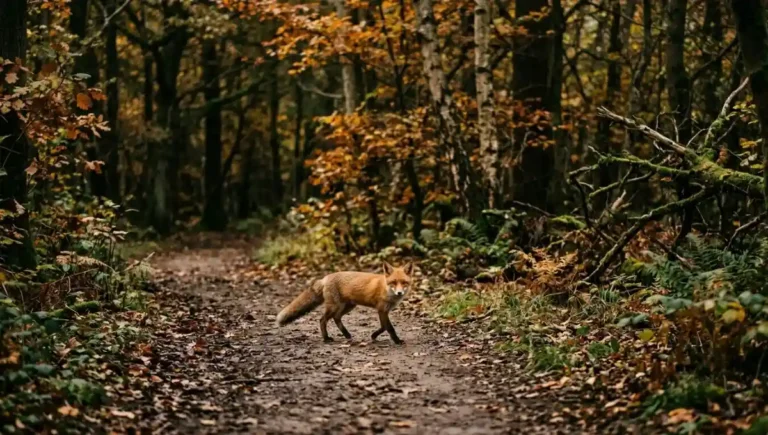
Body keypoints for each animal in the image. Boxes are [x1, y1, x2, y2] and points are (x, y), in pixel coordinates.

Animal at [275, 262, 414, 345]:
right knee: (322, 319)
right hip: (335, 306)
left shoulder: (384, 311)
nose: (400, 293)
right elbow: (389, 327)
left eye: (404, 283)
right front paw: (396, 340)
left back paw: (346, 334)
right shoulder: (381, 309)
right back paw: (326, 338)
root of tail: (325, 278)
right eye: (393, 282)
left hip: (348, 306)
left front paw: (374, 335)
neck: (386, 289)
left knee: (336, 318)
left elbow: (384, 326)